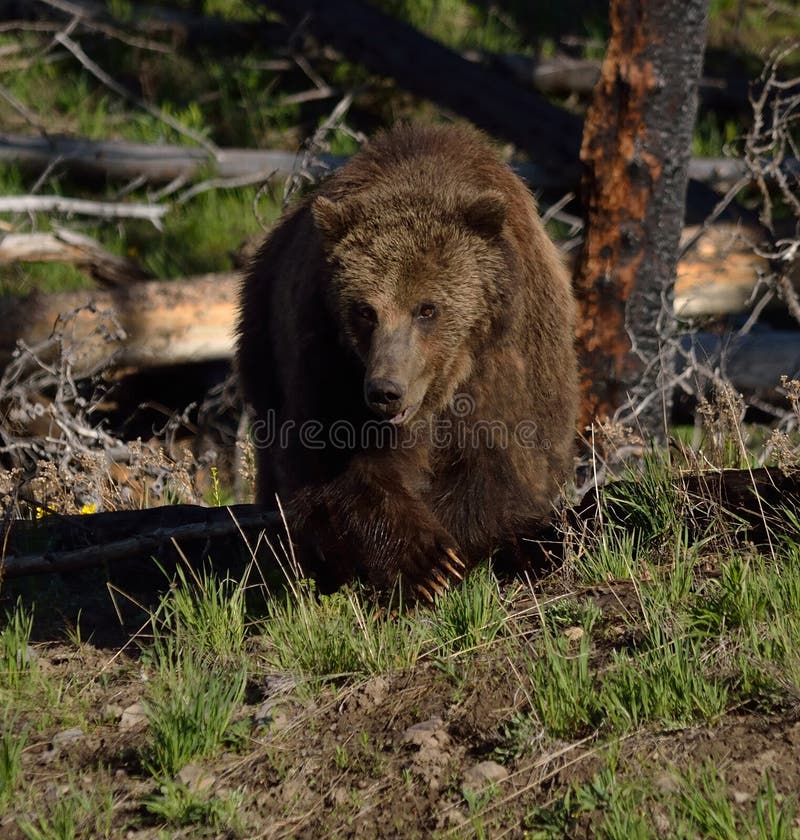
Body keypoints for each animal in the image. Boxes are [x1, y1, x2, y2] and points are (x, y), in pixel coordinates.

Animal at [234, 121, 580, 600]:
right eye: (365, 310)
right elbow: (332, 460)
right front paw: (425, 561)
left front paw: (452, 556)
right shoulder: (327, 355)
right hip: (264, 339)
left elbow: (503, 463)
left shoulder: (509, 359)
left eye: (427, 309)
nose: (385, 391)